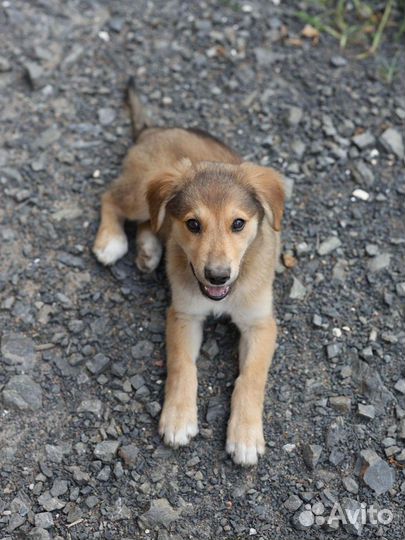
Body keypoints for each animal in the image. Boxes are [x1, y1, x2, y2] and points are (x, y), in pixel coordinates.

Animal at [94, 79, 284, 464]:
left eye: (238, 224)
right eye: (193, 224)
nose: (217, 276)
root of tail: (154, 130)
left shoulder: (261, 323)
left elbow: (251, 378)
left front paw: (245, 435)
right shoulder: (183, 314)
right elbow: (183, 366)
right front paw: (178, 417)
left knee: (152, 222)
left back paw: (149, 251)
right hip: (139, 194)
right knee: (111, 198)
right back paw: (111, 241)